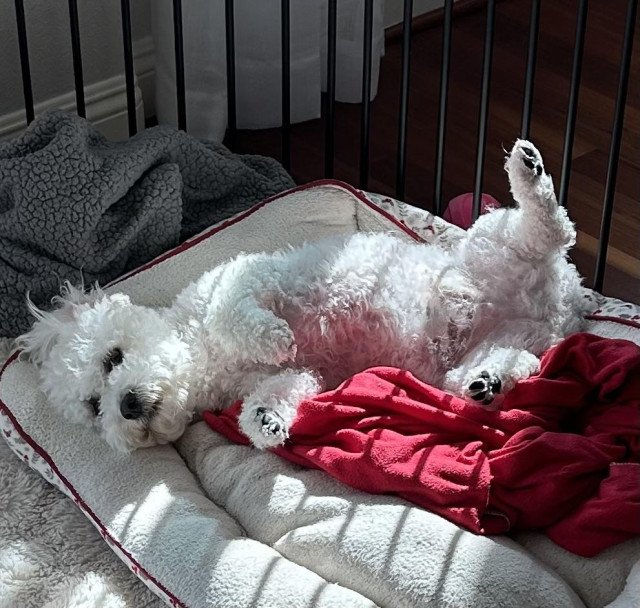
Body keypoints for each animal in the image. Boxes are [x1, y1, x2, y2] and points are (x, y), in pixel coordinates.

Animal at [17, 139, 592, 452]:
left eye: (113, 358)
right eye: (95, 406)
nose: (128, 404)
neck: (202, 357)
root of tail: (564, 304)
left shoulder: (243, 281)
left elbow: (236, 314)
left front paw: (273, 337)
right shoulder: (294, 377)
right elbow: (278, 391)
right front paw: (267, 422)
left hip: (495, 242)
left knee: (550, 226)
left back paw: (529, 170)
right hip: (483, 353)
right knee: (503, 366)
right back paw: (488, 381)